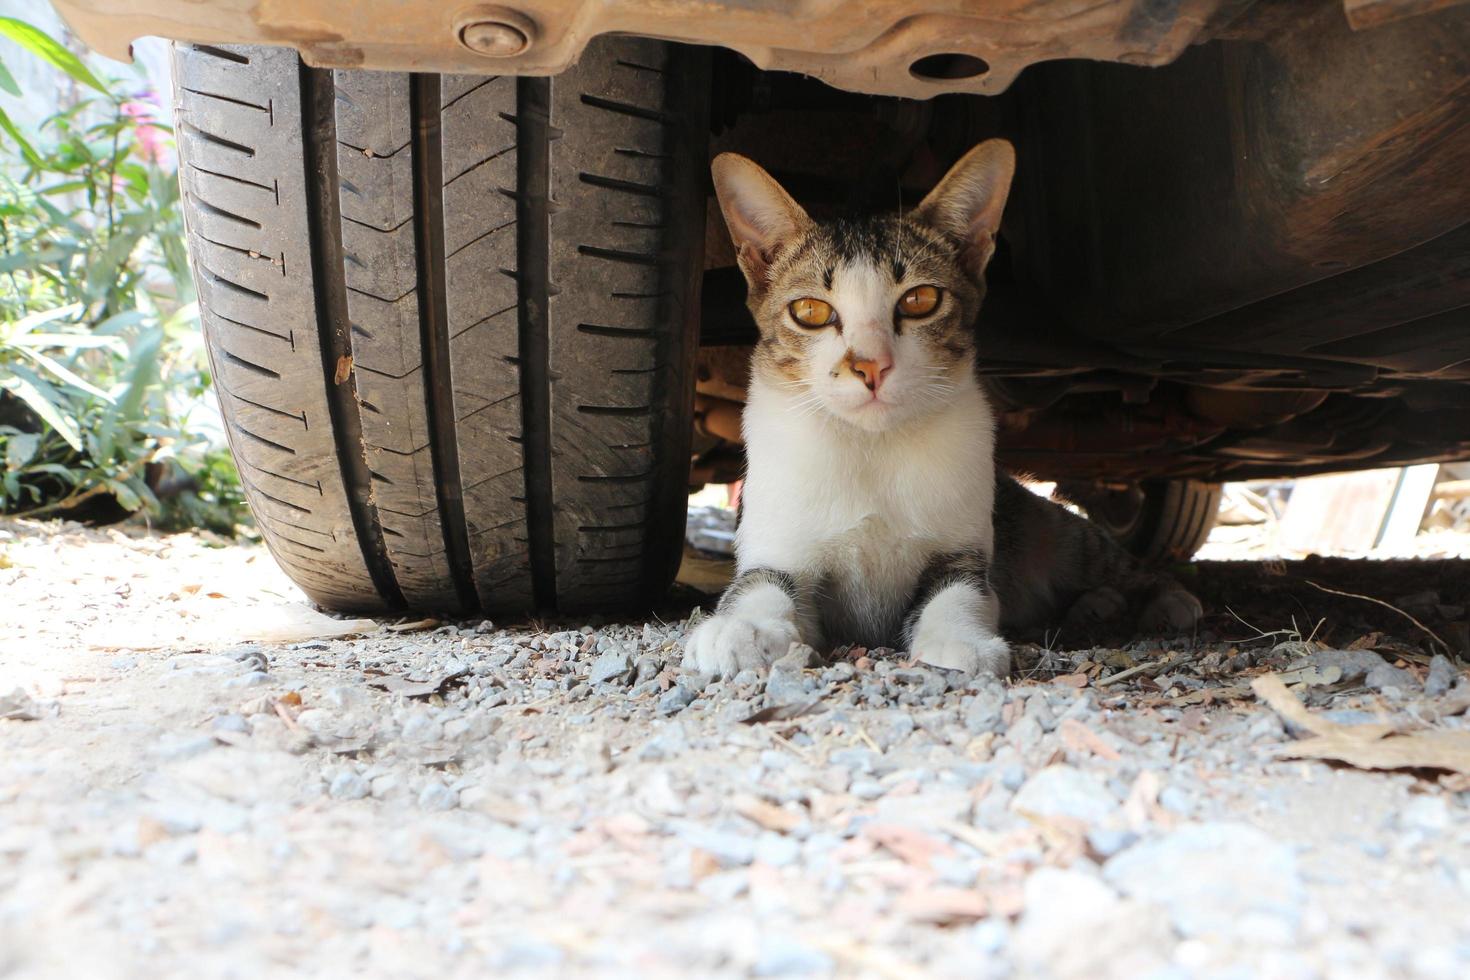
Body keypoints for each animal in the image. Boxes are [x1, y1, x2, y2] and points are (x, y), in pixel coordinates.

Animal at [682, 141, 1199, 678]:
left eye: (920, 300)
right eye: (810, 312)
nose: (872, 365)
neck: (873, 448)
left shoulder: (963, 551)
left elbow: (959, 591)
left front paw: (958, 639)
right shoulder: (779, 545)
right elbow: (761, 583)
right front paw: (743, 628)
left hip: (1053, 531)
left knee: (1111, 561)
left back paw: (1163, 600)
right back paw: (1098, 606)